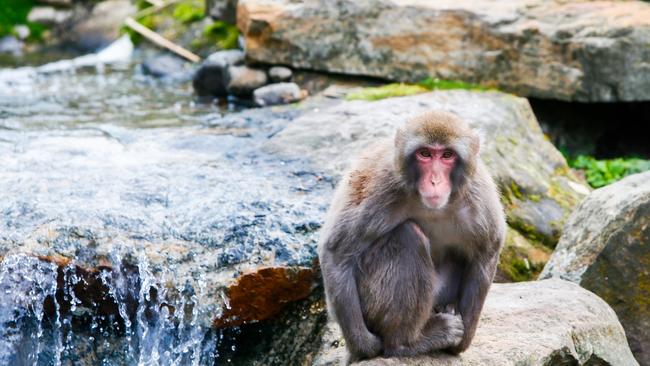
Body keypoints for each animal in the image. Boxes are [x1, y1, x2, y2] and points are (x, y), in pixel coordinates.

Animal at [316, 111, 504, 364]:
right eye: (425, 154)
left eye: (447, 155)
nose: (434, 180)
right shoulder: (380, 187)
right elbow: (336, 253)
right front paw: (364, 346)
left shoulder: (481, 200)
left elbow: (486, 254)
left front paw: (461, 344)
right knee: (408, 237)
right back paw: (407, 343)